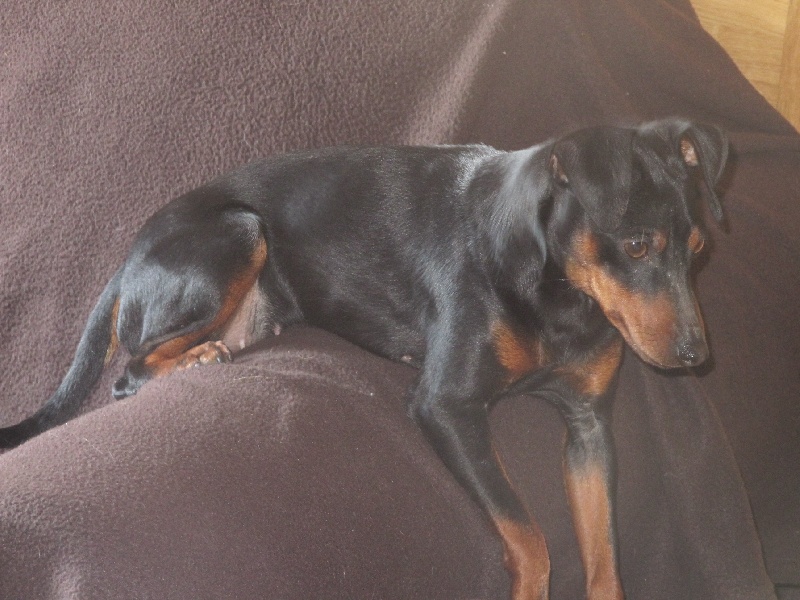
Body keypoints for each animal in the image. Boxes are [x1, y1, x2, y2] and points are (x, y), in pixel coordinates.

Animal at [0, 118, 727, 599]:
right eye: (636, 245)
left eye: (698, 251)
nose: (696, 357)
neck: (562, 292)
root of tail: (130, 256)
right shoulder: (445, 406)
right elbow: (530, 538)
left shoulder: (588, 427)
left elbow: (604, 558)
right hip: (239, 230)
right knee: (130, 371)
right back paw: (198, 358)